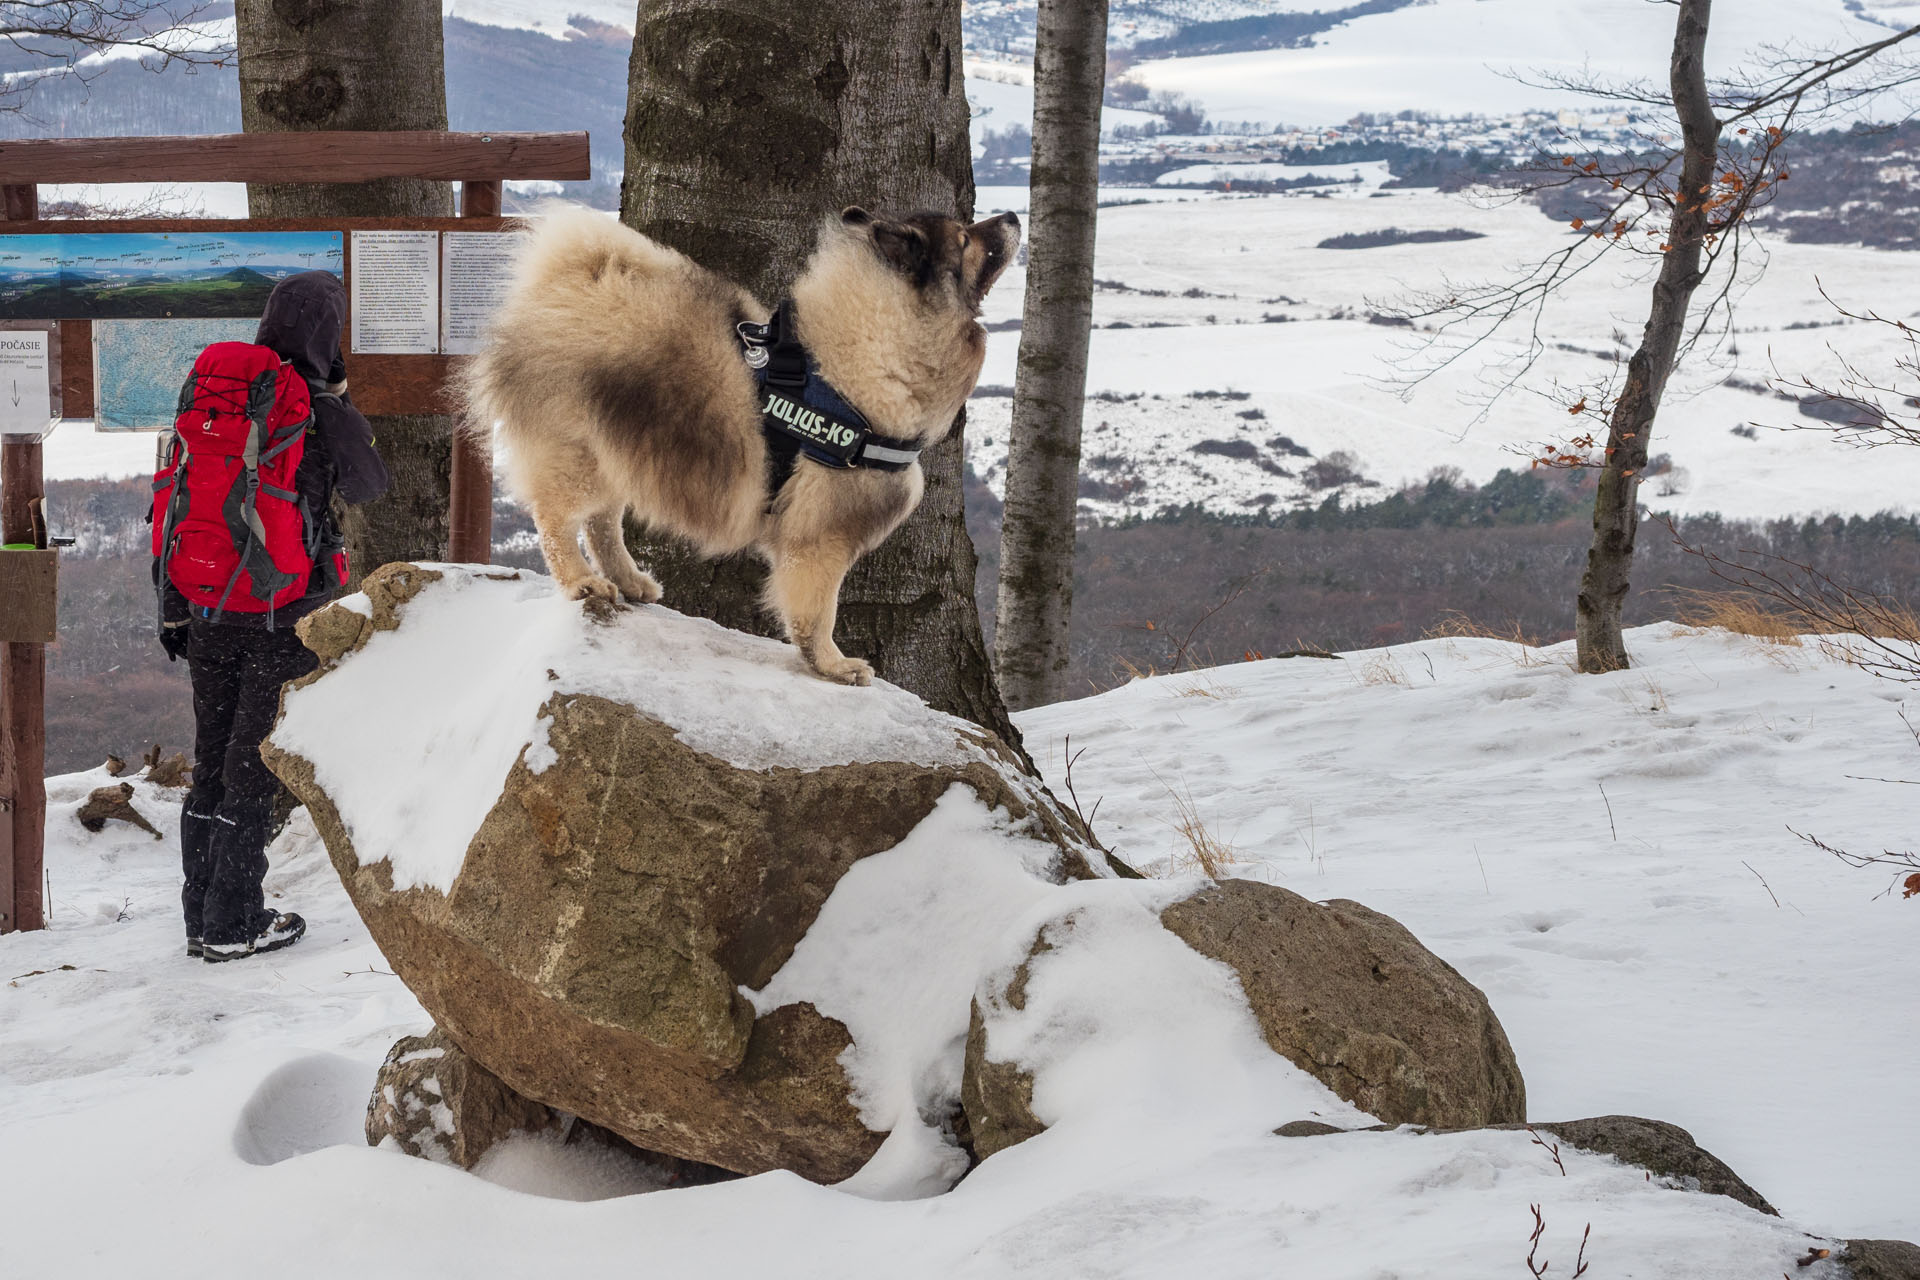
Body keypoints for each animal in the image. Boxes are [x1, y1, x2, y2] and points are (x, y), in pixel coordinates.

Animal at [460, 205, 1021, 687]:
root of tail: (565, 281)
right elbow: (818, 612)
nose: (1015, 215)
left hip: (620, 452)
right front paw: (832, 666)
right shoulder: (820, 540)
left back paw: (631, 581)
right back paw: (582, 582)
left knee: (602, 525)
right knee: (558, 521)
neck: (867, 359)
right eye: (966, 238)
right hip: (579, 456)